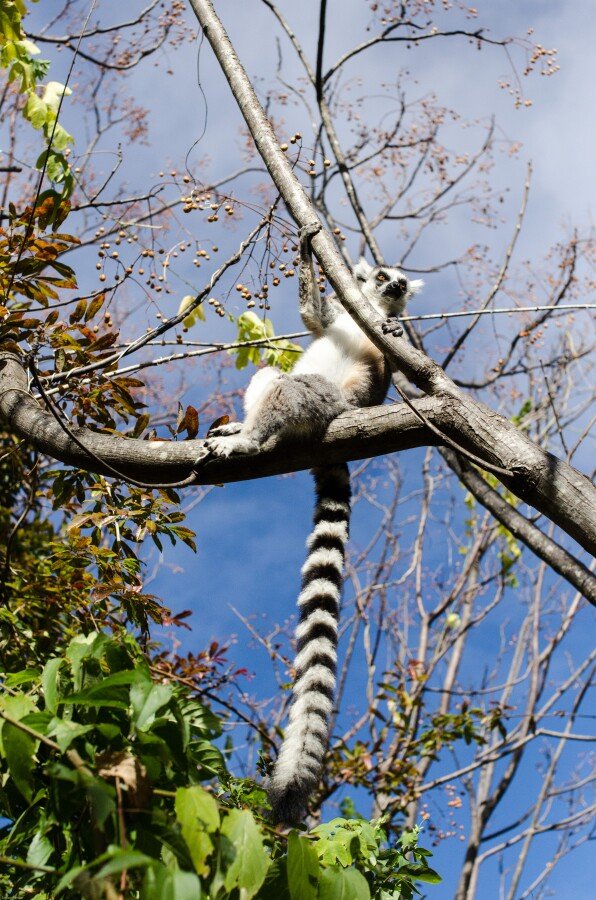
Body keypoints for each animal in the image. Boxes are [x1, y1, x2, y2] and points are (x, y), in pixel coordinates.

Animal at [204, 225, 423, 822]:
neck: (367, 313)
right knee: (270, 376)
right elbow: (312, 316)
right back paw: (240, 429)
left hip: (326, 405)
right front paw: (308, 242)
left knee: (291, 392)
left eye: (400, 284)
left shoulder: (389, 359)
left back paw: (249, 441)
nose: (393, 289)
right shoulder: (338, 316)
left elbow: (402, 367)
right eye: (383, 276)